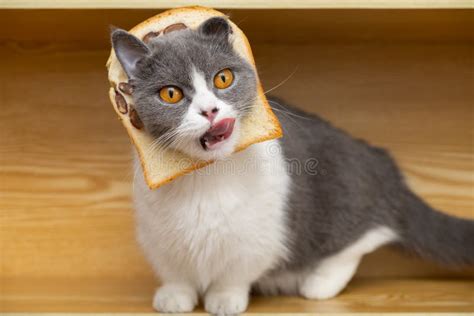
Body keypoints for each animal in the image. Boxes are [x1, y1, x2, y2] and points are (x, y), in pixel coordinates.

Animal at [112, 16, 474, 316]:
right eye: (171, 94)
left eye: (223, 78)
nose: (209, 110)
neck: (206, 177)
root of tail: (386, 168)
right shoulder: (158, 234)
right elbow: (174, 269)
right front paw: (175, 296)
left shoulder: (259, 234)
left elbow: (236, 271)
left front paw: (225, 299)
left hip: (344, 199)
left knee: (364, 237)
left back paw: (318, 283)